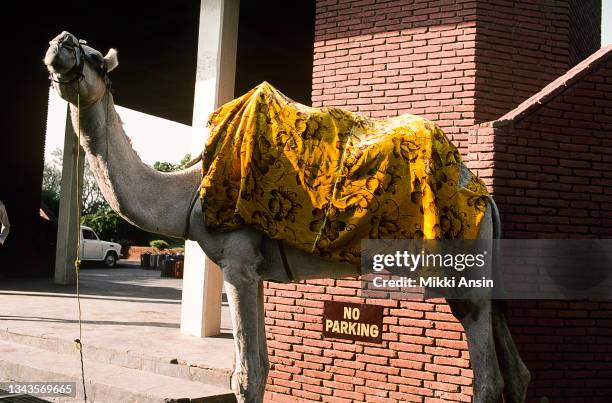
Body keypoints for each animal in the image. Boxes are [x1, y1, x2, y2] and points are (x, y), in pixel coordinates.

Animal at [44, 32, 532, 403]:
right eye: (69, 43)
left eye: (95, 59)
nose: (60, 42)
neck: (187, 195)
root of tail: (485, 198)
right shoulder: (255, 270)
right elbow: (260, 365)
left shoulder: (238, 262)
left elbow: (247, 375)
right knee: (516, 369)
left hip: (459, 266)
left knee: (487, 375)